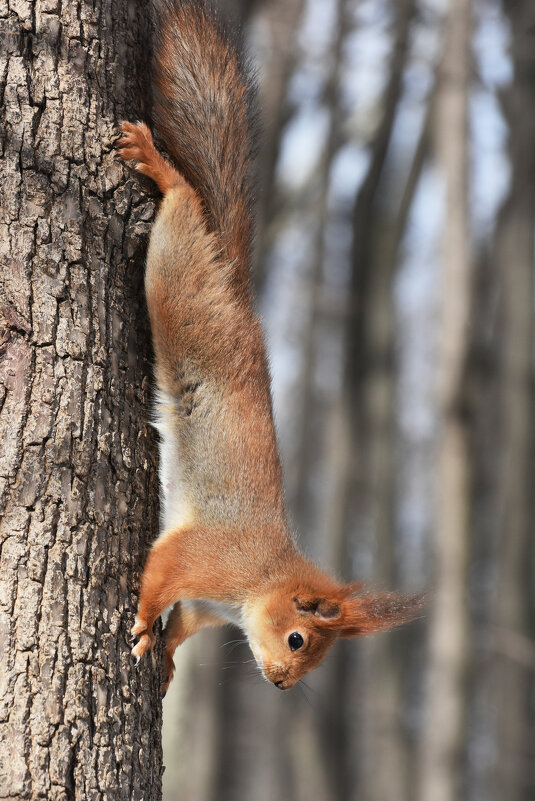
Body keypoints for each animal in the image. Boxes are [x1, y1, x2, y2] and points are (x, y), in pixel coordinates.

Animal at [118, 0, 422, 692]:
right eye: (297, 638)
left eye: (315, 658)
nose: (282, 683)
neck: (256, 584)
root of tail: (234, 289)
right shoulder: (204, 556)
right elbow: (160, 571)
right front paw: (144, 624)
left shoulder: (206, 605)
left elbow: (183, 622)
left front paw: (166, 657)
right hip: (178, 290)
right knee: (181, 206)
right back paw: (161, 167)